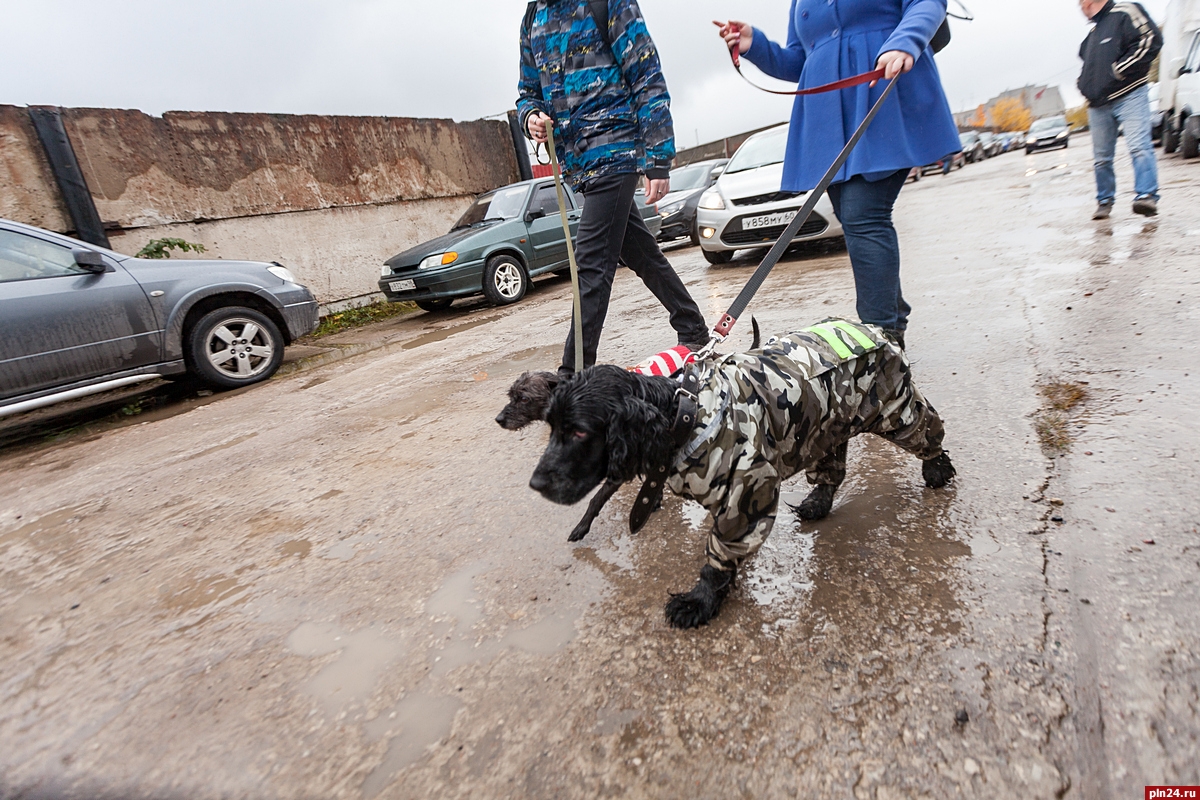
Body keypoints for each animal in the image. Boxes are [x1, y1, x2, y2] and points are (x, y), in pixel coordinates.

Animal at [528, 321, 955, 633]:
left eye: (579, 432)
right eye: (550, 426)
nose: (535, 485)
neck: (684, 414)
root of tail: (875, 329)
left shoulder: (749, 490)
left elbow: (718, 553)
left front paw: (698, 602)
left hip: (891, 408)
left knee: (925, 428)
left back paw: (937, 468)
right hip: (828, 420)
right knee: (832, 465)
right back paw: (818, 502)